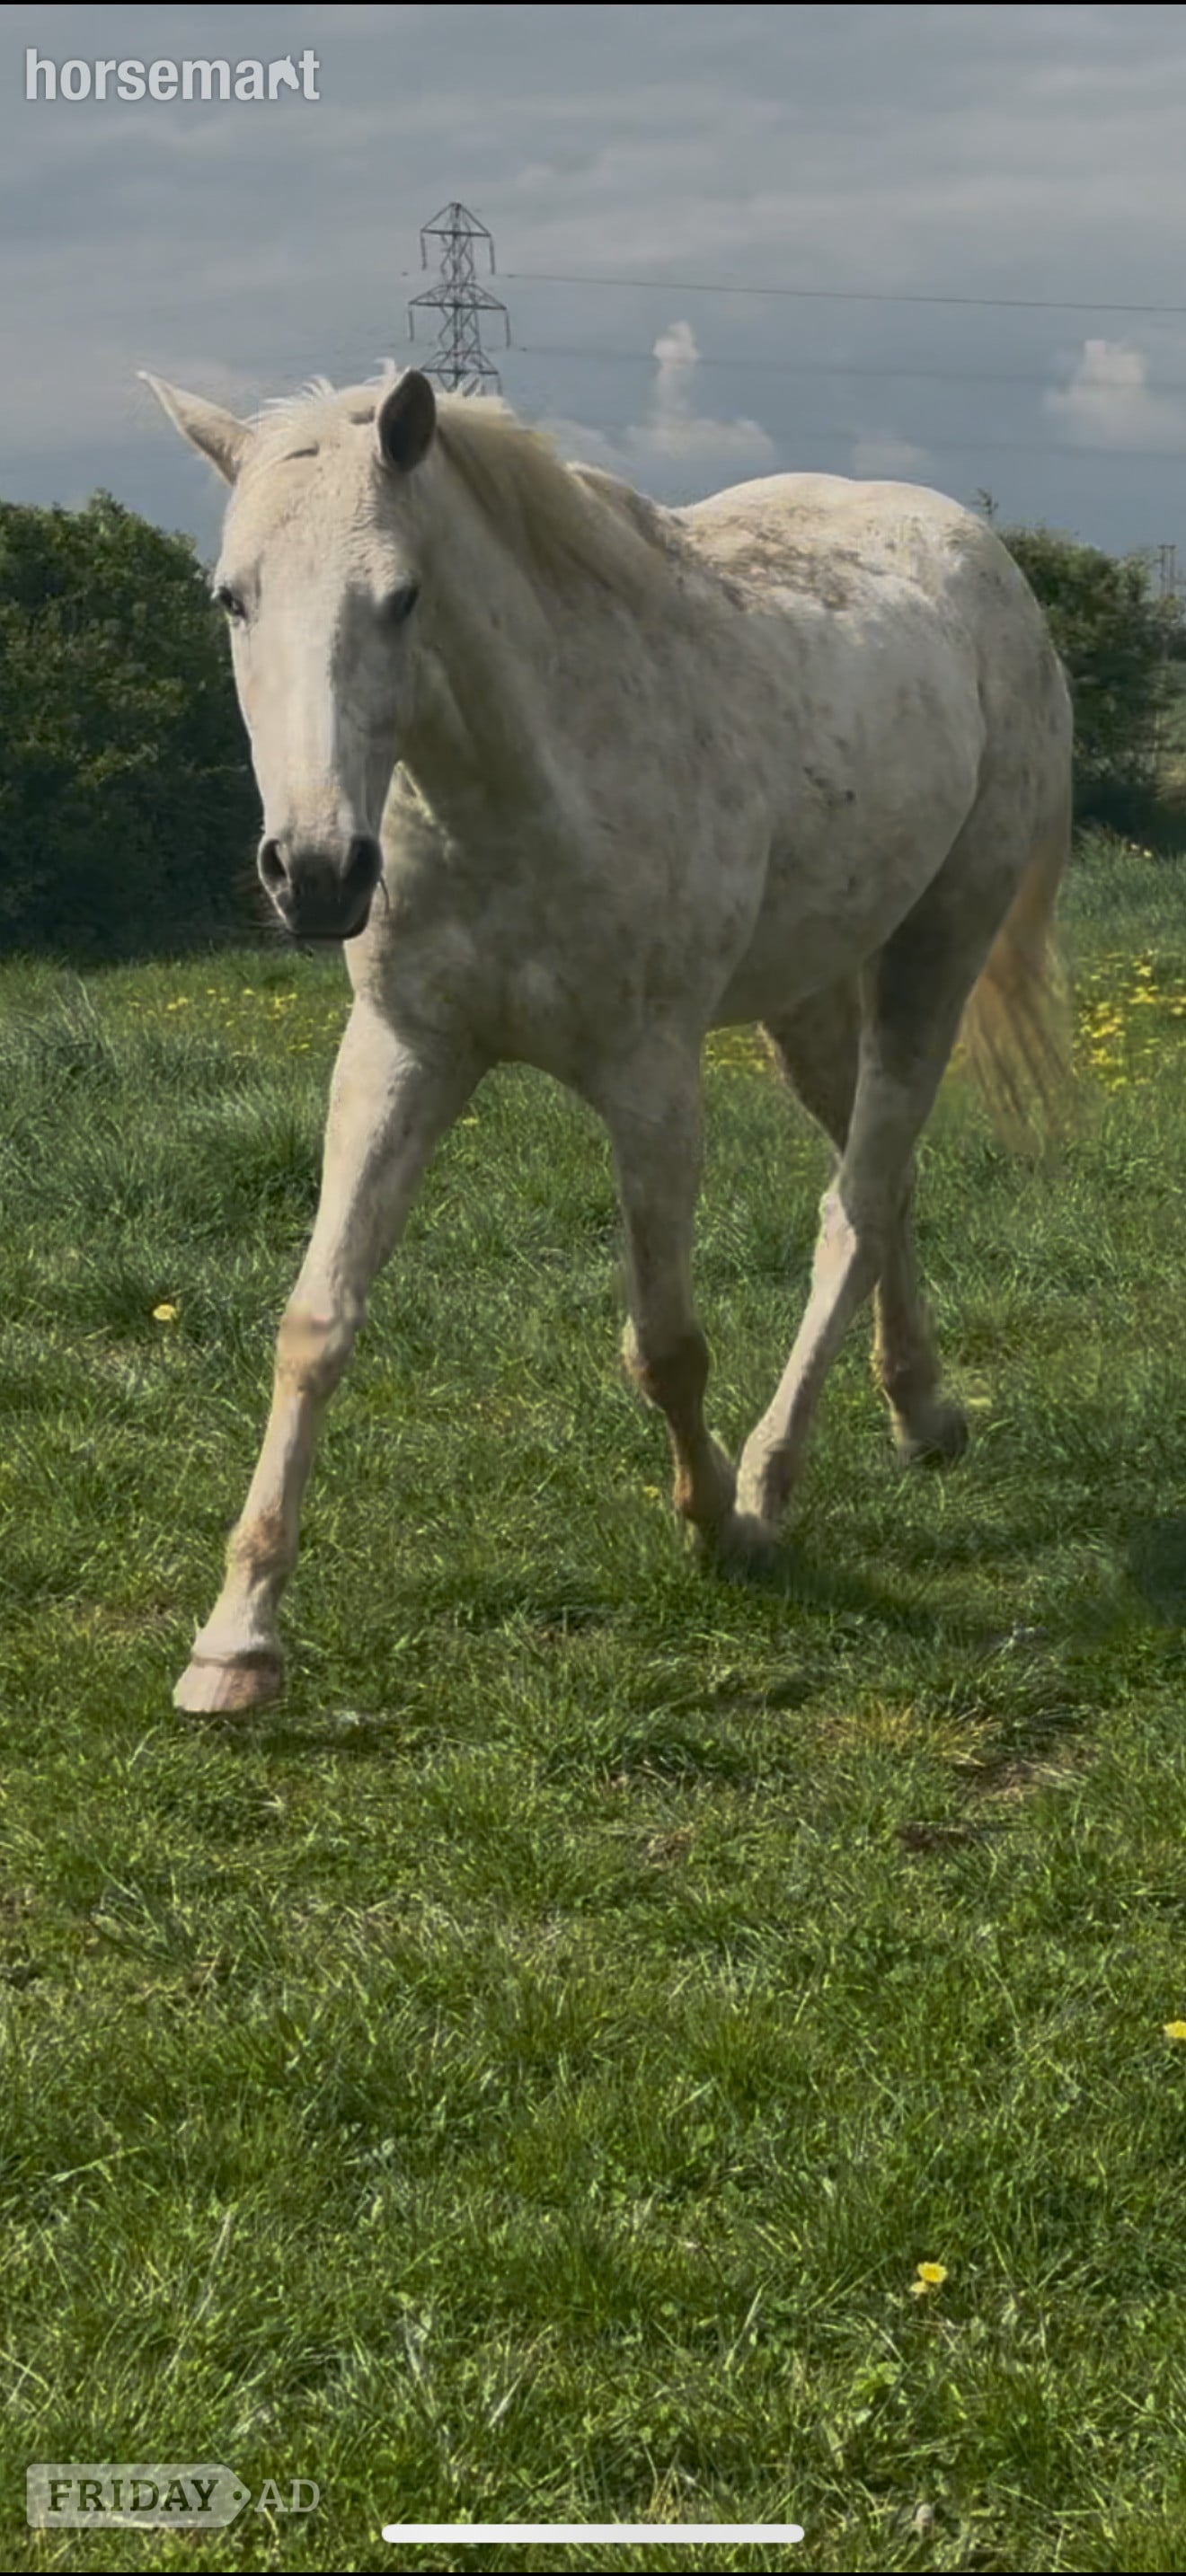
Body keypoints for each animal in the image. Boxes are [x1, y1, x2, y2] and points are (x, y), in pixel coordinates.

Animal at [143, 363, 1071, 1715]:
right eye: (233, 596)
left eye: (403, 596)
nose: (315, 874)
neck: (524, 792)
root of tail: (976, 548)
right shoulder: (401, 1055)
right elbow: (316, 1324)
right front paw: (237, 1642)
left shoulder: (650, 1083)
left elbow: (667, 1345)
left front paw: (717, 1523)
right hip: (808, 1000)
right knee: (882, 1186)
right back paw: (922, 1413)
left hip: (933, 956)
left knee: (856, 1203)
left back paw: (775, 1482)